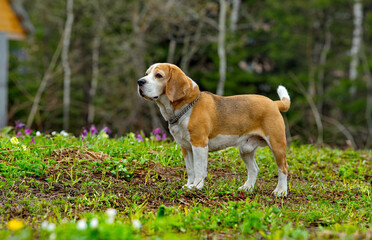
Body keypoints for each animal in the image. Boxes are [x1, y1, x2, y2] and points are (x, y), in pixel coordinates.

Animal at [137, 62, 290, 196]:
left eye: (158, 75)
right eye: (146, 74)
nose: (140, 81)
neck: (186, 107)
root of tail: (274, 103)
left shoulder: (199, 144)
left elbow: (199, 168)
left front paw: (197, 186)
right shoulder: (185, 147)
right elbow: (190, 169)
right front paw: (189, 185)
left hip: (277, 145)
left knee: (283, 169)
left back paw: (281, 191)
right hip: (245, 149)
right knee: (254, 169)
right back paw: (247, 188)